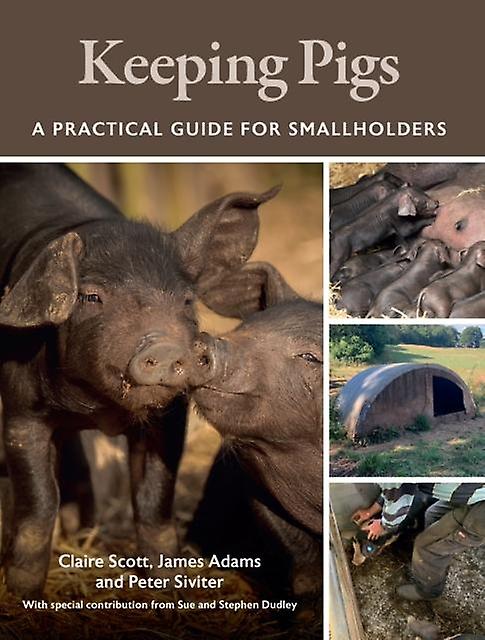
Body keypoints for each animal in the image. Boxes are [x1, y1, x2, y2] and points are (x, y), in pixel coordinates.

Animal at [0, 163, 277, 597]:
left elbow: (154, 498)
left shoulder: (169, 418)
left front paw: (168, 585)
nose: (164, 347)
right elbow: (38, 502)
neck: (96, 408)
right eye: (91, 297)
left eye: (186, 299)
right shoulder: (21, 413)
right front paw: (23, 593)